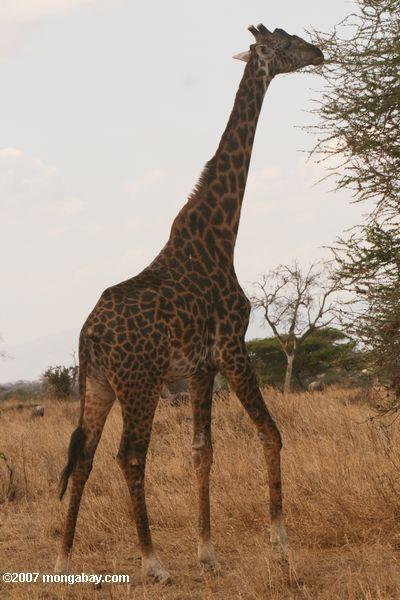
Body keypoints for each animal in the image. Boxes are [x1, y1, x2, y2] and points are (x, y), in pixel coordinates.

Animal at [54, 23, 324, 580]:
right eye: (286, 42)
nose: (321, 51)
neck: (222, 235)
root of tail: (89, 335)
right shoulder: (233, 347)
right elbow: (271, 433)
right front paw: (280, 543)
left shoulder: (201, 366)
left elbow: (203, 450)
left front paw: (207, 552)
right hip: (140, 383)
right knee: (129, 455)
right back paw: (152, 561)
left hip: (98, 383)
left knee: (83, 454)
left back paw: (65, 556)